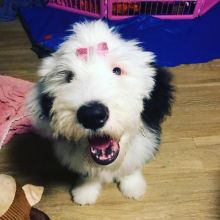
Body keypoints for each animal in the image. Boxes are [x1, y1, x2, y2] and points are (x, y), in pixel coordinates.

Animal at [27, 19, 174, 205]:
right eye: (68, 77)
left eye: (117, 70)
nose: (92, 115)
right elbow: (88, 175)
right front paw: (85, 192)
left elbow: (130, 167)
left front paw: (133, 186)